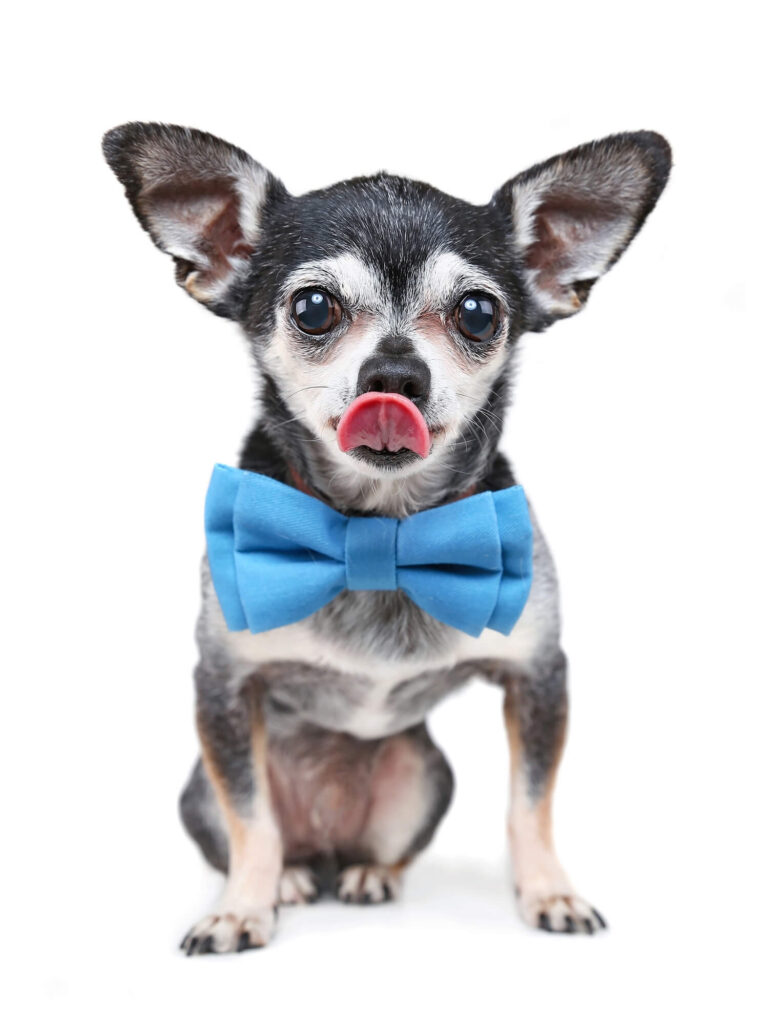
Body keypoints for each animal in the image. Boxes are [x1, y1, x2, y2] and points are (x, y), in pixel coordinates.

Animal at [100, 125, 667, 950]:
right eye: (312, 308)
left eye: (476, 313)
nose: (395, 372)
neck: (379, 529)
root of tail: (329, 843)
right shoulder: (224, 690)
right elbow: (252, 825)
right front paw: (240, 909)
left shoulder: (537, 678)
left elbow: (529, 806)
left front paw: (549, 893)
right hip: (202, 790)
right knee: (272, 836)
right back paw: (290, 881)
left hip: (423, 776)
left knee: (381, 849)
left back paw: (369, 874)